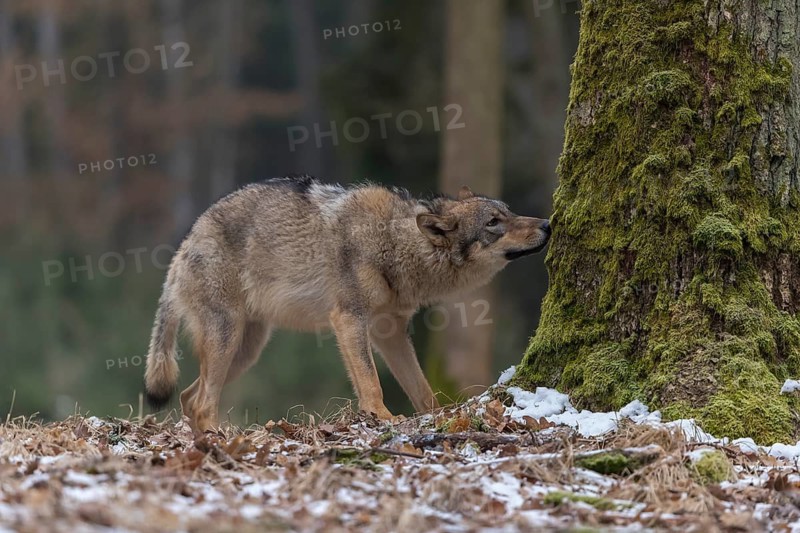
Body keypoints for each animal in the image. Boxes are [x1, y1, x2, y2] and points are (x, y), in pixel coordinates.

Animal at [144, 175, 550, 434]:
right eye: (494, 222)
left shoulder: (390, 332)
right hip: (229, 340)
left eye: (509, 212)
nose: (548, 223)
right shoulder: (349, 319)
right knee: (200, 401)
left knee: (188, 397)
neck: (393, 241)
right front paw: (383, 419)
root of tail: (184, 246)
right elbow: (371, 382)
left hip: (247, 350)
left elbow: (423, 391)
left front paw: (438, 420)